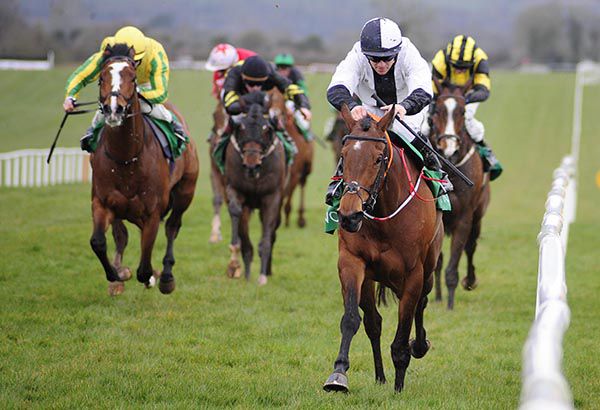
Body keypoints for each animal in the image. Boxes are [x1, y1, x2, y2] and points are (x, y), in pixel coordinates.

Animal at [90, 44, 199, 296]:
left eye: (132, 77)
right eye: (101, 78)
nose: (114, 110)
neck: (126, 158)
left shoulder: (152, 211)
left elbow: (145, 265)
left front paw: (152, 276)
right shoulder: (102, 201)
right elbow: (99, 241)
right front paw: (117, 274)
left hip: (185, 192)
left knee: (172, 227)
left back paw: (166, 276)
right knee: (123, 234)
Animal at [224, 92, 288, 286]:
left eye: (267, 129)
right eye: (241, 128)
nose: (251, 165)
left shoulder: (272, 196)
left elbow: (266, 237)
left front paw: (262, 276)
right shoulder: (237, 188)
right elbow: (236, 212)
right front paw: (236, 266)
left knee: (273, 231)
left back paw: (267, 270)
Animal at [323, 105, 444, 393]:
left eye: (378, 158)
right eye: (343, 156)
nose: (349, 216)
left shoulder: (413, 274)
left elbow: (403, 330)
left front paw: (399, 386)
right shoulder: (351, 262)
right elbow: (352, 319)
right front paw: (338, 374)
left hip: (429, 269)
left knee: (421, 304)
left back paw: (418, 347)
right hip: (370, 278)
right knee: (373, 323)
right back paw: (380, 376)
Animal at [428, 77, 491, 310]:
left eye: (463, 112)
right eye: (436, 110)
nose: (449, 148)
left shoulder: (464, 218)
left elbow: (453, 265)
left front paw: (450, 305)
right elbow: (437, 262)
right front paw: (437, 298)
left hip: (478, 215)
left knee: (471, 247)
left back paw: (470, 281)